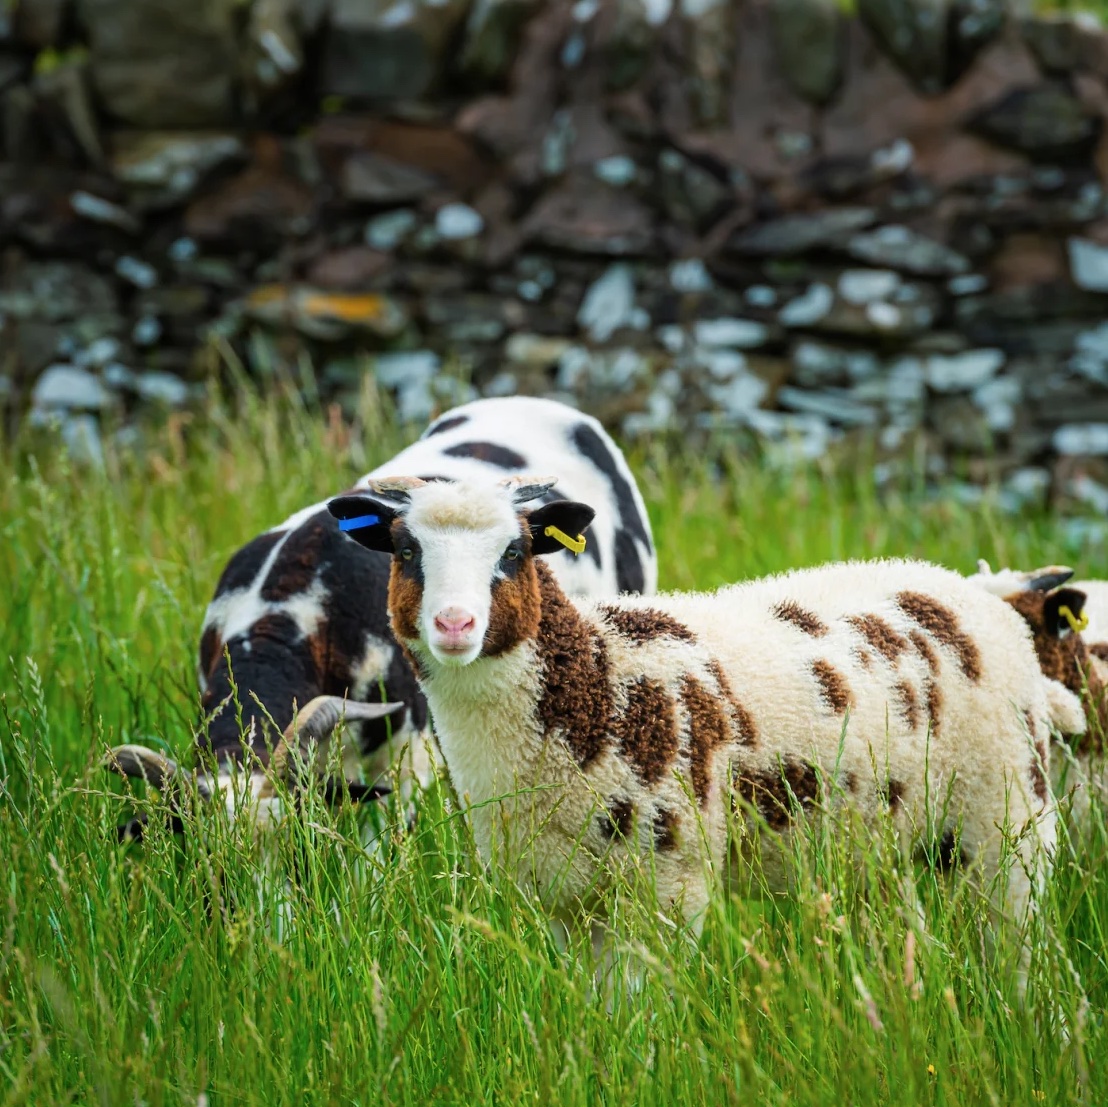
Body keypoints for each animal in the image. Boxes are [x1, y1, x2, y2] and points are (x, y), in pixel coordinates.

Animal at [324, 474, 1085, 1000]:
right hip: (886, 843)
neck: (594, 680)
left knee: (1021, 948)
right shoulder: (565, 894)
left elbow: (644, 1010)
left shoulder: (672, 877)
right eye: (406, 550)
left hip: (1007, 818)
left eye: (514, 550)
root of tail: (968, 594)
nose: (454, 625)